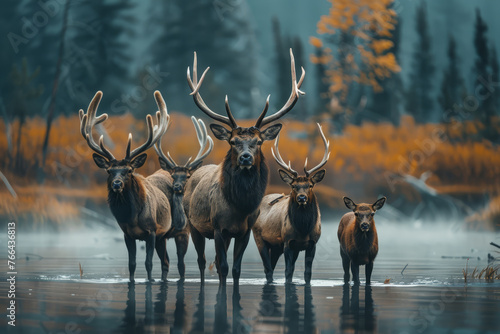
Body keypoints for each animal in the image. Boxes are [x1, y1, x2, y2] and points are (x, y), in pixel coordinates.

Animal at [78, 90, 172, 282]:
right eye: (109, 171)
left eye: (129, 170)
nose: (117, 183)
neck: (132, 217)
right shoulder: (127, 234)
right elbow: (132, 264)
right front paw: (132, 281)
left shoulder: (152, 231)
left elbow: (148, 263)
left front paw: (150, 280)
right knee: (166, 260)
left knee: (167, 261)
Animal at [154, 115, 213, 280]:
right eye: (173, 176)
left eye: (187, 176)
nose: (177, 187)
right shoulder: (159, 234)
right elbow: (166, 263)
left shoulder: (184, 232)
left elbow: (181, 266)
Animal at [184, 48, 304, 286]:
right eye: (233, 141)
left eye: (258, 141)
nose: (246, 158)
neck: (240, 207)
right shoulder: (218, 228)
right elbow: (223, 267)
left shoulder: (245, 230)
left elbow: (236, 269)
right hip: (193, 224)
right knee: (202, 261)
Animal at [252, 122, 330, 284]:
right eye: (293, 186)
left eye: (310, 185)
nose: (302, 198)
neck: (303, 229)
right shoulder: (288, 242)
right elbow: (288, 272)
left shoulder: (312, 243)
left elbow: (307, 273)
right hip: (259, 238)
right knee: (268, 269)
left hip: (276, 247)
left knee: (271, 266)